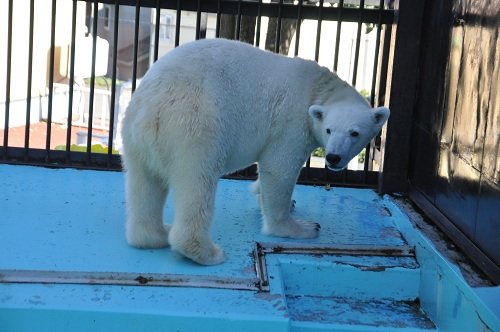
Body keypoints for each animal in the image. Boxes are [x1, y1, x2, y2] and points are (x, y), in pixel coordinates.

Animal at [121, 37, 390, 266]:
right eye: (329, 129)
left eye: (354, 133)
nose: (333, 157)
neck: (318, 86)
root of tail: (151, 106)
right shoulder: (291, 121)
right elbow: (279, 168)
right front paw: (300, 227)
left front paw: (273, 197)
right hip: (195, 124)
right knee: (197, 181)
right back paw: (206, 252)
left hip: (136, 138)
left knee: (144, 184)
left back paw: (153, 235)